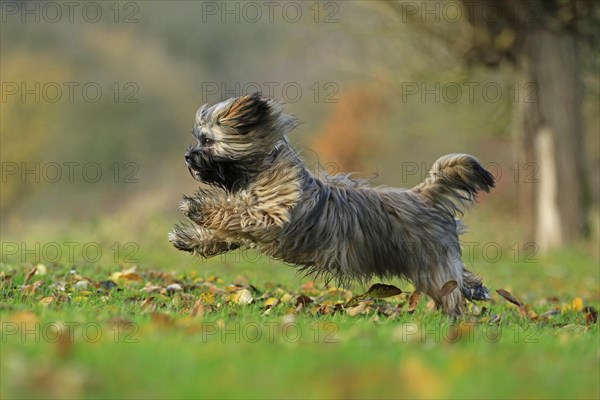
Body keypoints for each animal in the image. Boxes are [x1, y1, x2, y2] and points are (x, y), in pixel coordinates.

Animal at [168, 94, 492, 316]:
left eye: (207, 141)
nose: (187, 156)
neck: (262, 169)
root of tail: (422, 196)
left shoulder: (271, 217)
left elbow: (233, 213)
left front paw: (199, 208)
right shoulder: (251, 228)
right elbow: (223, 233)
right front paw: (188, 237)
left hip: (433, 266)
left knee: (450, 291)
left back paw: (457, 319)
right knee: (461, 278)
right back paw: (477, 290)